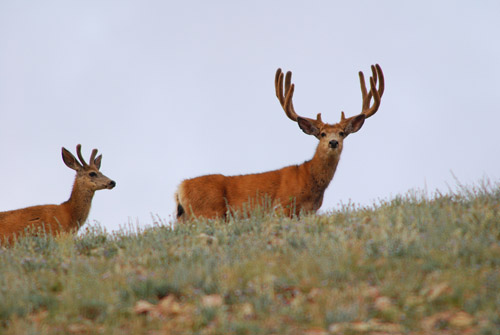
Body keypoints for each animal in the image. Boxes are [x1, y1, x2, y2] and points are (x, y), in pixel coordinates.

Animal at [177, 64, 386, 222]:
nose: (333, 142)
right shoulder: (282, 206)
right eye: (322, 134)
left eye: (342, 133)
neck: (309, 180)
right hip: (208, 213)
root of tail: (180, 188)